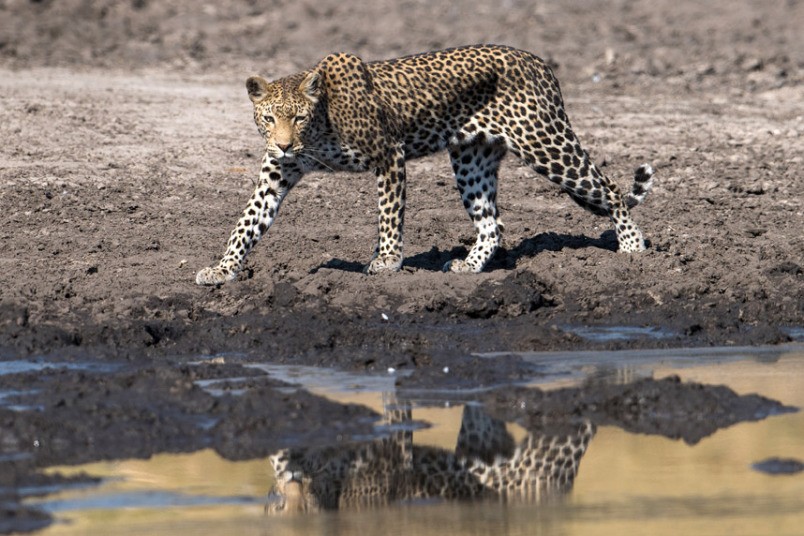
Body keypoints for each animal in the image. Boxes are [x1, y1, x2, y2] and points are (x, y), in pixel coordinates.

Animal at [195, 45, 652, 284]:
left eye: (299, 117)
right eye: (269, 118)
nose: (285, 144)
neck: (321, 127)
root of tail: (540, 62)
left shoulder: (389, 156)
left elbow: (389, 216)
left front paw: (387, 261)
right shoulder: (276, 175)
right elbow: (246, 224)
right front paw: (222, 269)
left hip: (545, 144)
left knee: (612, 189)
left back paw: (632, 248)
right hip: (471, 160)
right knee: (492, 223)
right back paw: (469, 265)